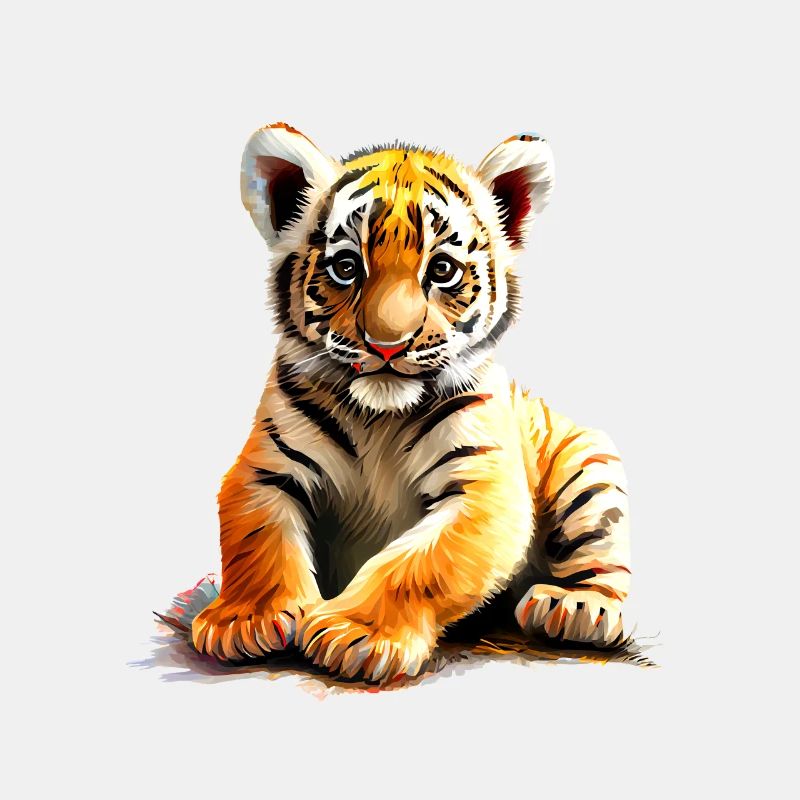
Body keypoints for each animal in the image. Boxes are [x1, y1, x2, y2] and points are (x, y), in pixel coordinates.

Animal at [190, 122, 632, 683]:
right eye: (346, 266)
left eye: (441, 270)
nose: (387, 345)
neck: (378, 417)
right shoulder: (264, 469)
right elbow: (258, 540)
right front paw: (245, 619)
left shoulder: (483, 485)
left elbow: (417, 563)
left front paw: (357, 634)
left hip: (587, 466)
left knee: (603, 562)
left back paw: (576, 607)